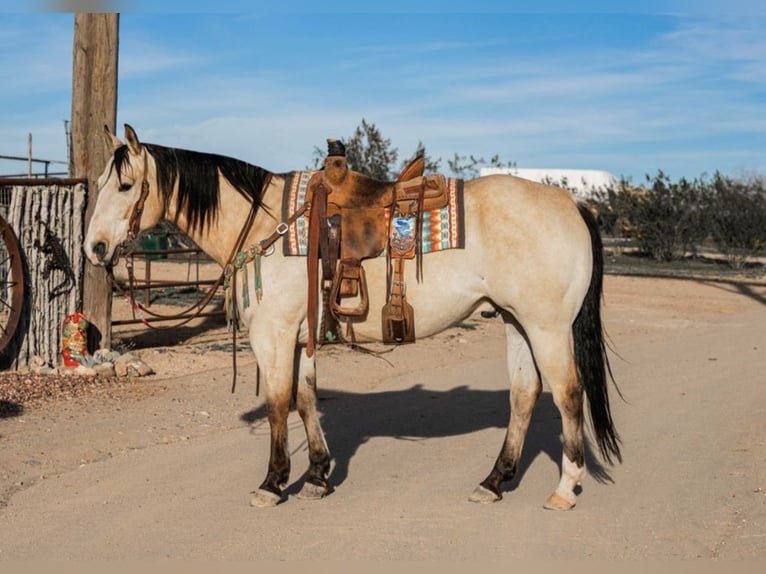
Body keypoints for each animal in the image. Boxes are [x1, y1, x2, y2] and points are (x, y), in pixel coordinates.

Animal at [84, 124, 621, 509]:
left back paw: (564, 489)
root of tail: (572, 200)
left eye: (126, 185)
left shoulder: (274, 335)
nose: (95, 249)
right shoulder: (301, 334)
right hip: (514, 320)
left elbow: (278, 404)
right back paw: (493, 481)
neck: (266, 225)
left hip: (547, 327)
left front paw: (273, 483)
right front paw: (318, 476)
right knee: (525, 394)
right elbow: (305, 400)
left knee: (568, 394)